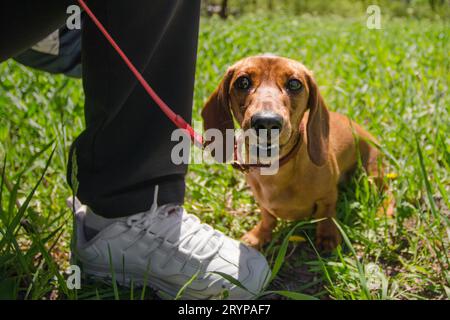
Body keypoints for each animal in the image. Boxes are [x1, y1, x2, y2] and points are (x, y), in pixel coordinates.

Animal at [200, 55, 390, 251]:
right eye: (242, 82)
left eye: (294, 84)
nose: (267, 122)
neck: (275, 173)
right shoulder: (263, 203)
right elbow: (268, 218)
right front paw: (259, 235)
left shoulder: (328, 196)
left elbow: (327, 214)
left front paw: (328, 237)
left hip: (372, 175)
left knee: (387, 193)